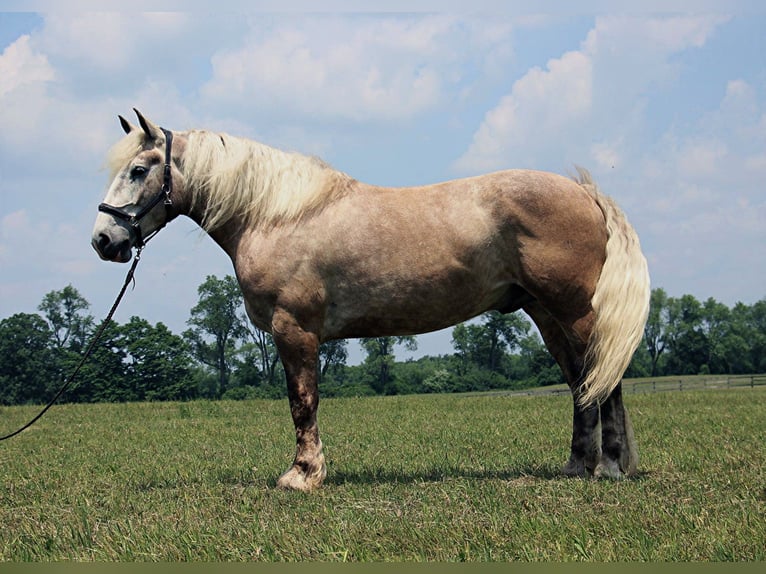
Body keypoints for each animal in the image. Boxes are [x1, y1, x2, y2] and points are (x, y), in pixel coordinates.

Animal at [93, 110, 652, 492]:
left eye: (140, 170)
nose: (103, 240)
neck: (275, 215)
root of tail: (583, 192)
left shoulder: (294, 329)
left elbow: (302, 401)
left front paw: (302, 475)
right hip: (545, 315)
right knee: (581, 384)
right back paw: (577, 466)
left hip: (576, 313)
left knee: (605, 380)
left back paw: (607, 467)